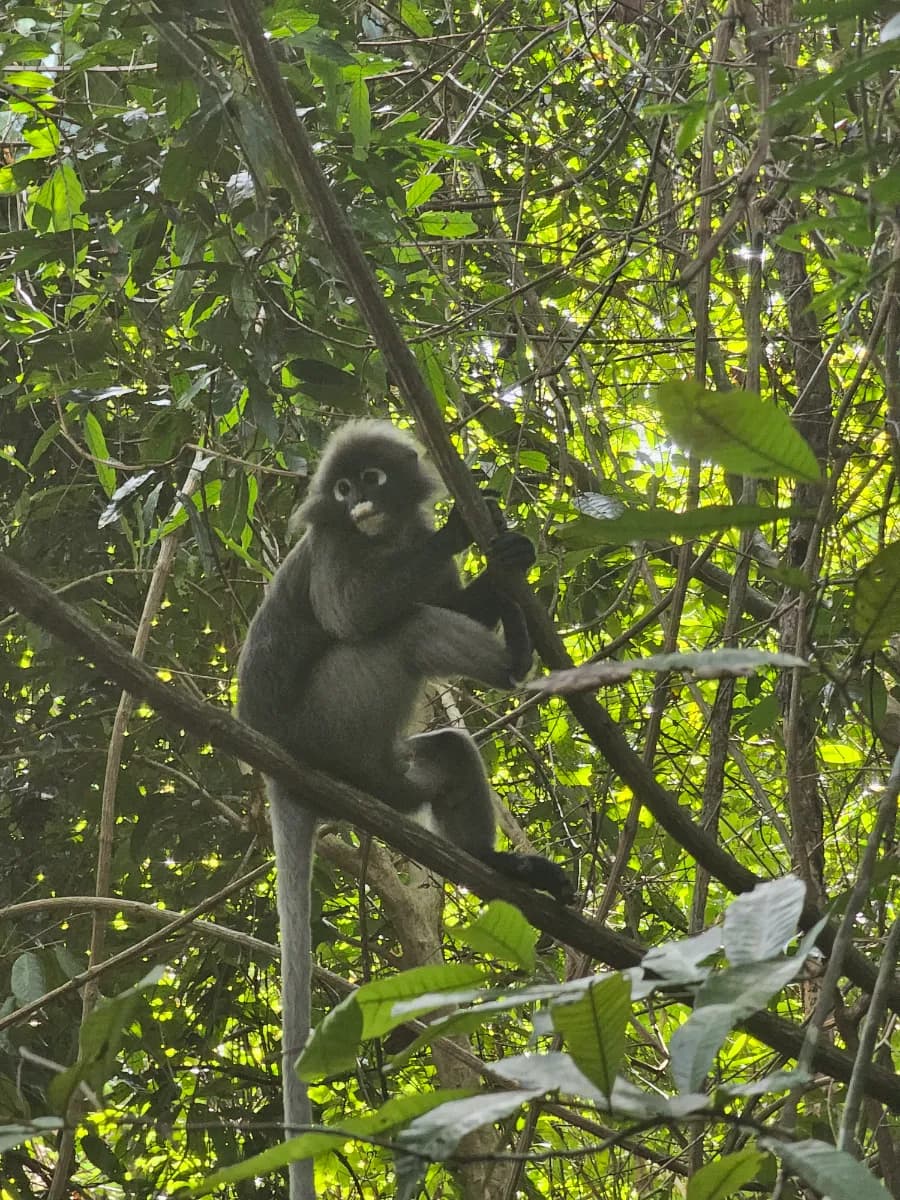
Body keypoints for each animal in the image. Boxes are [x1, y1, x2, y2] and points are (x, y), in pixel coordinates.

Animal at [236, 419, 573, 1199]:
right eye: (341, 488)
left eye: (371, 479)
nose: (357, 503)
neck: (384, 539)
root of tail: (281, 767)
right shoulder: (330, 550)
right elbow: (353, 613)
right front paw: (460, 536)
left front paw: (503, 560)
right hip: (337, 717)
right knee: (404, 627)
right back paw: (513, 660)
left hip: (382, 769)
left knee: (447, 751)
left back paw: (499, 865)